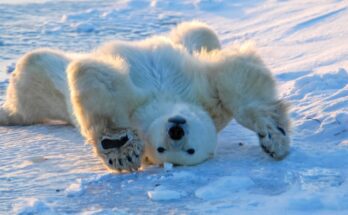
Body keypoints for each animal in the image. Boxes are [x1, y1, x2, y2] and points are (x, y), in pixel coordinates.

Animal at [0, 21, 290, 171]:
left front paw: (274, 136)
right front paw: (120, 146)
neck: (164, 102)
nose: (176, 131)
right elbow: (97, 79)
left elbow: (237, 79)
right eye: (161, 148)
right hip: (54, 88)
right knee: (33, 68)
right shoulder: (142, 104)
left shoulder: (208, 102)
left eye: (190, 150)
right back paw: (7, 113)